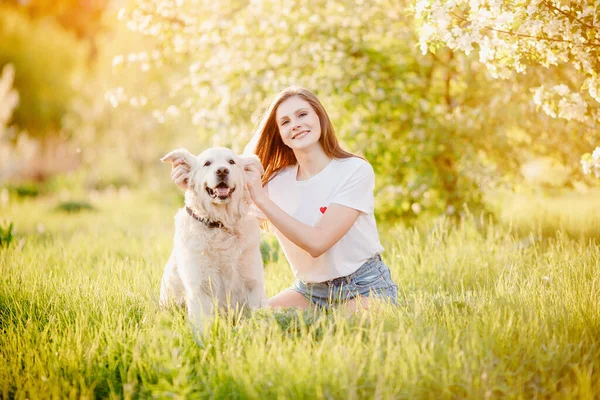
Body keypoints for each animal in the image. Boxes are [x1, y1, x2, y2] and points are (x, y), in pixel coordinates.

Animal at [159, 147, 264, 334]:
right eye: (207, 163)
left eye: (231, 162)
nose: (222, 171)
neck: (220, 224)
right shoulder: (200, 287)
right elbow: (203, 326)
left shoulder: (253, 283)